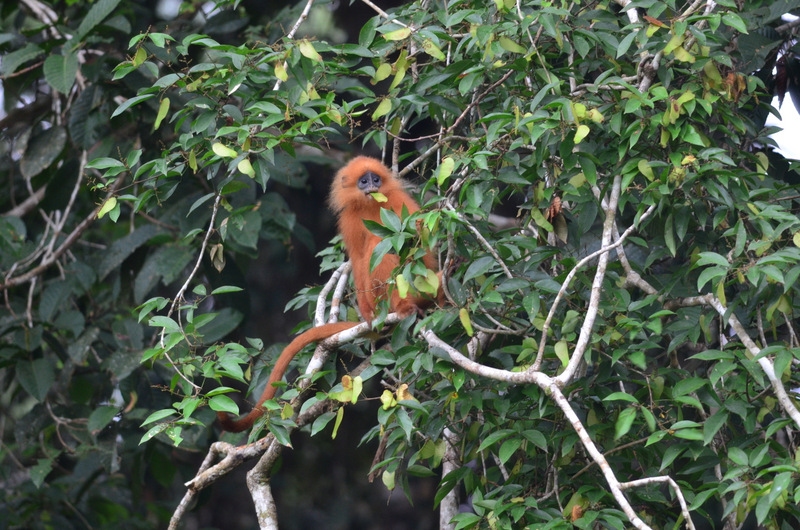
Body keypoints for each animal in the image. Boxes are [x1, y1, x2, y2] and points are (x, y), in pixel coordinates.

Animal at [216, 155, 440, 432]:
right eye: (363, 181)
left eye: (375, 179)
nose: (371, 186)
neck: (369, 206)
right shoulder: (350, 219)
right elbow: (358, 258)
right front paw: (367, 314)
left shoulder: (399, 201)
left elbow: (421, 243)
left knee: (384, 246)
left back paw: (404, 306)